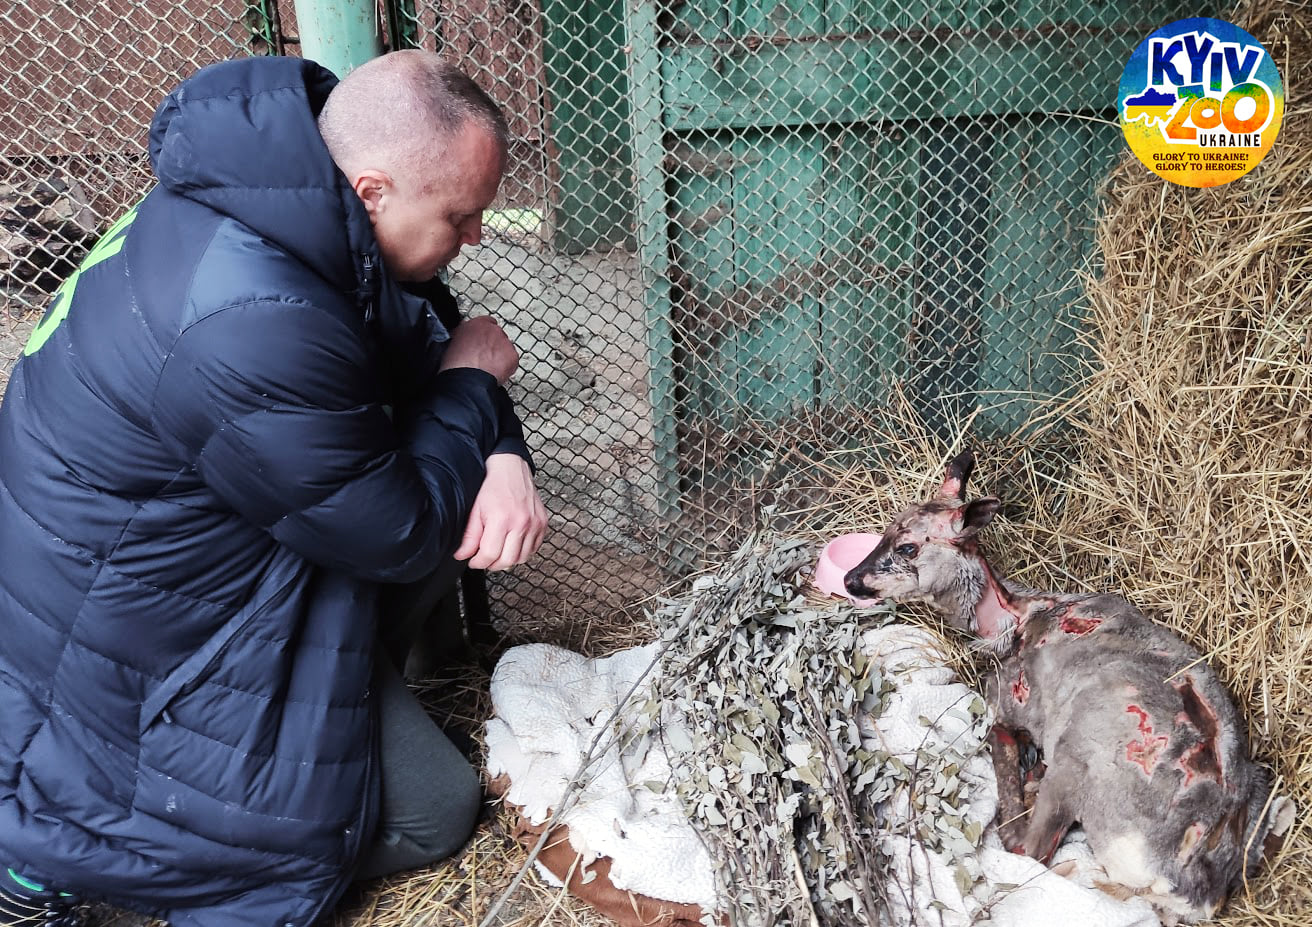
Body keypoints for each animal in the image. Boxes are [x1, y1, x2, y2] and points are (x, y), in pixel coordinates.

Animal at [839, 451, 1291, 923]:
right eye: (887, 529)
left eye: (908, 546)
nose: (851, 579)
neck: (1012, 621)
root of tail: (1189, 885)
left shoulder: (1005, 701)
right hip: (1258, 786)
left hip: (1077, 762)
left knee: (1029, 847)